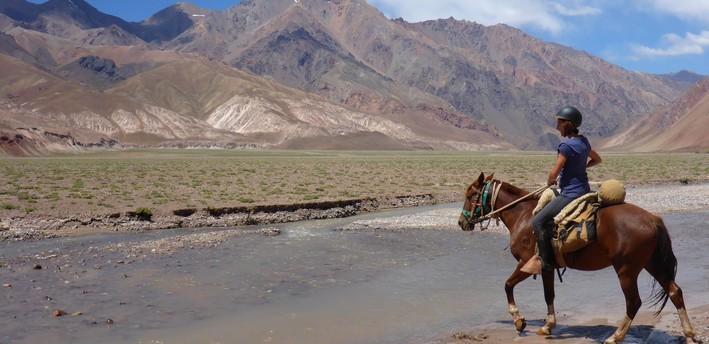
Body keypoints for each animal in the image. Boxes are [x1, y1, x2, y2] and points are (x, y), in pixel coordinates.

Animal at [456, 173, 696, 344]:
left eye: (469, 196)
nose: (461, 222)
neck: (523, 216)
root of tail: (652, 219)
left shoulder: (528, 263)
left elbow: (508, 285)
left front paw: (518, 320)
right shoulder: (548, 267)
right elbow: (549, 294)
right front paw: (548, 325)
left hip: (626, 270)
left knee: (634, 301)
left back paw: (615, 337)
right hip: (652, 264)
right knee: (675, 292)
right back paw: (690, 335)